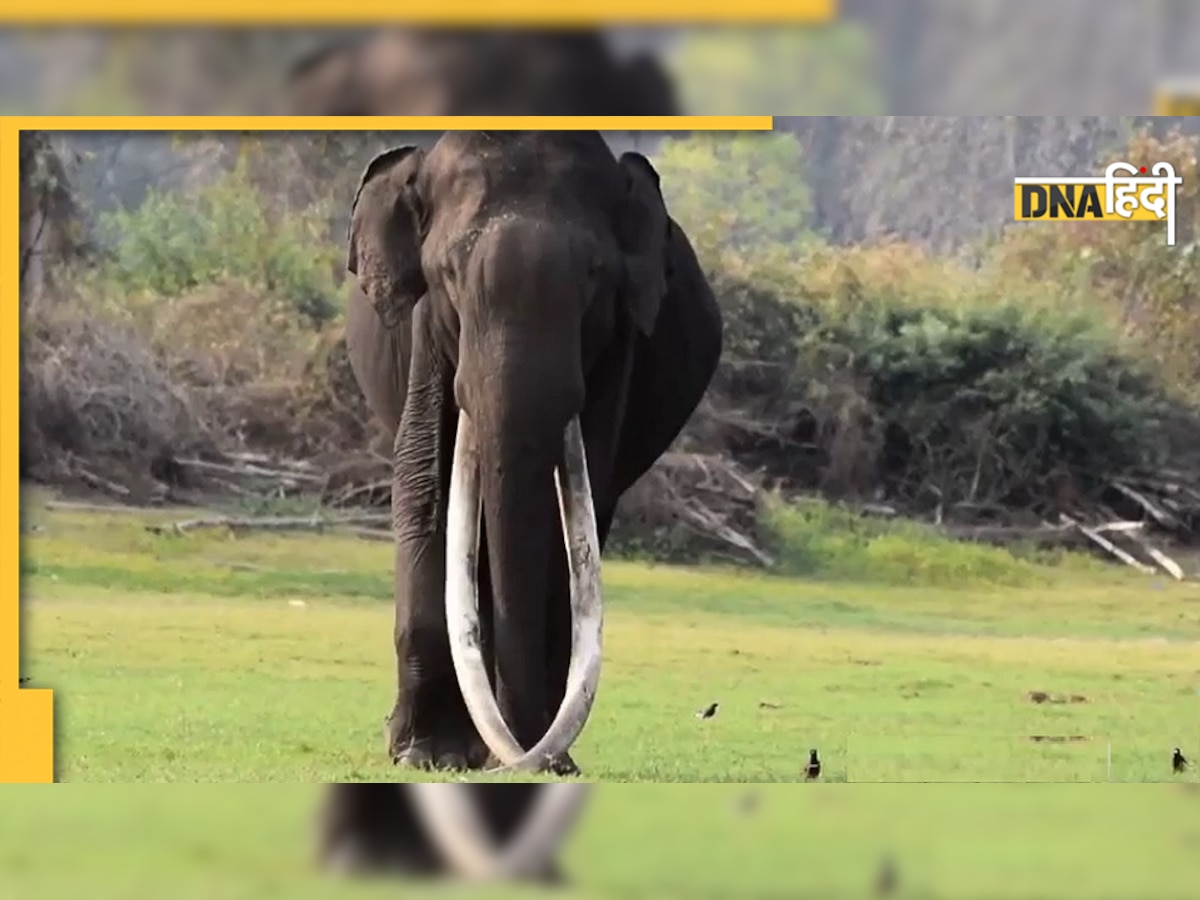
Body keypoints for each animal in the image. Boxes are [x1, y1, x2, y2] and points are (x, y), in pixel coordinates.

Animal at [343, 130, 724, 777]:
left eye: (595, 276)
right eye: (447, 272)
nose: (521, 763)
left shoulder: (619, 338)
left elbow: (565, 512)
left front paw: (542, 760)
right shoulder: (425, 327)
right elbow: (424, 480)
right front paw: (425, 755)